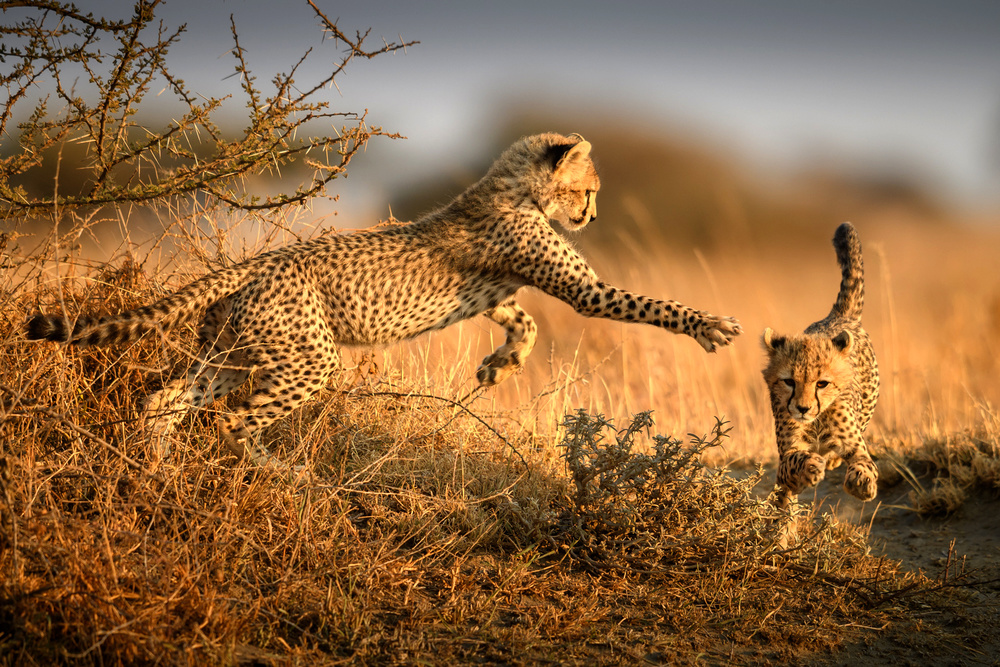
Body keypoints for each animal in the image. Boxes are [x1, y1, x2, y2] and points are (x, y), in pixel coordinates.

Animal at [27, 133, 744, 468]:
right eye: (588, 189)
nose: (592, 217)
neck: (513, 186)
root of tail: (254, 261)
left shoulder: (494, 290)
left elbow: (523, 321)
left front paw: (499, 366)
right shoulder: (582, 289)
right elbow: (644, 304)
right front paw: (709, 323)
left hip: (235, 351)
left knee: (167, 398)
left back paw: (157, 467)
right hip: (306, 360)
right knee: (232, 419)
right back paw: (281, 474)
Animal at [760, 222, 880, 508]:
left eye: (822, 383)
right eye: (789, 381)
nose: (803, 408)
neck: (816, 420)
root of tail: (837, 316)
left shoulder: (855, 443)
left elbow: (864, 462)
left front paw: (861, 482)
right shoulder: (788, 451)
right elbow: (794, 460)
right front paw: (810, 467)